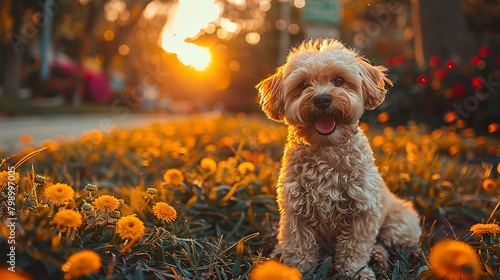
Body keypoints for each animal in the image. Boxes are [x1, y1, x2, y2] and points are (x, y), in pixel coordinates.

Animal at [258, 38, 422, 278]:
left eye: (339, 80)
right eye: (303, 85)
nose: (322, 99)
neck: (327, 147)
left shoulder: (363, 210)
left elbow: (355, 248)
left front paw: (356, 272)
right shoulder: (296, 212)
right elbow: (299, 248)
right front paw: (296, 270)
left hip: (398, 226)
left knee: (384, 243)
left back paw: (381, 257)